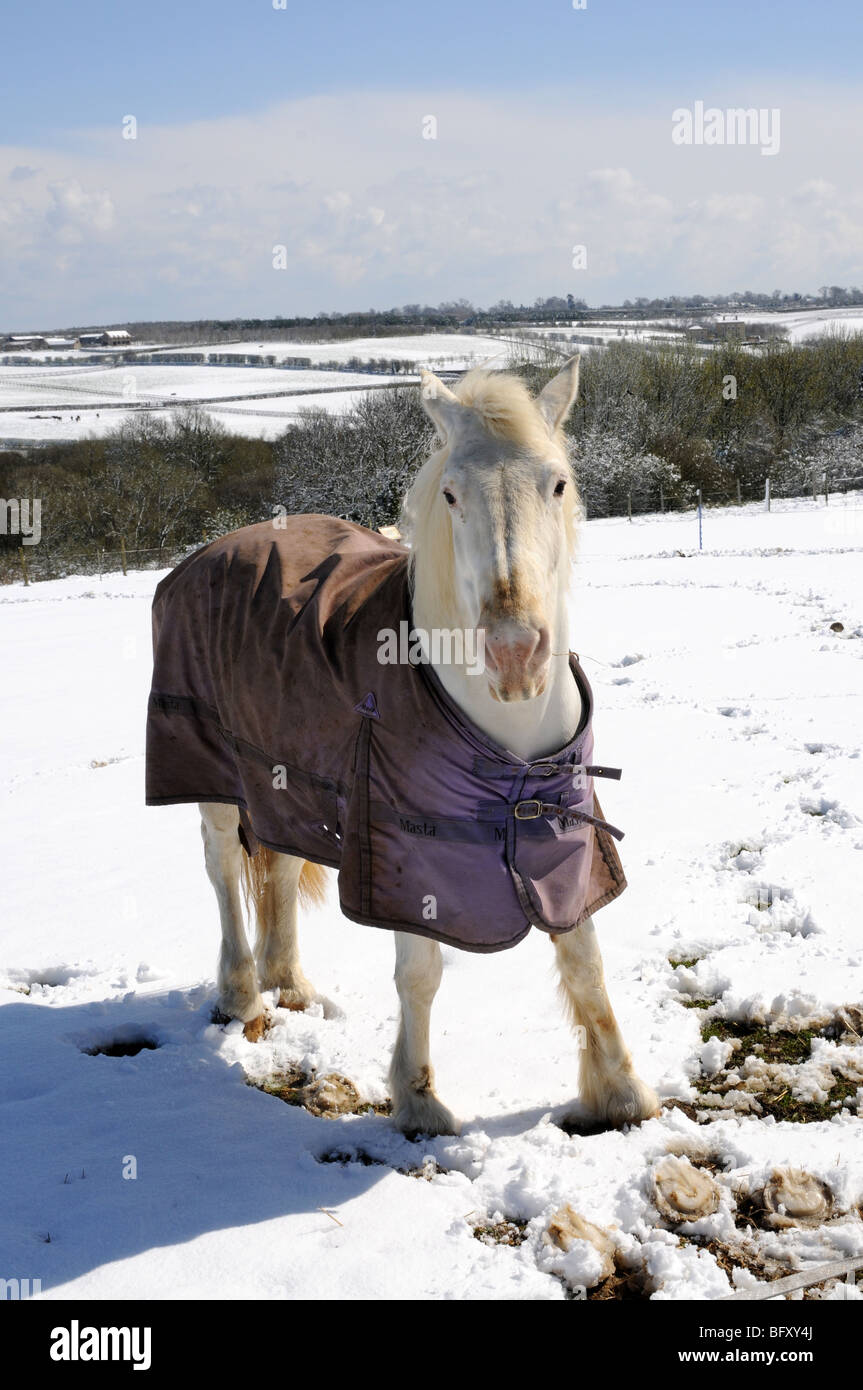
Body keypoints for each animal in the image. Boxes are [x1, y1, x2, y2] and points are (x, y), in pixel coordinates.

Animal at [150, 355, 659, 1137]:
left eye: (558, 483)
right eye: (450, 493)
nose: (515, 652)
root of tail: (215, 548)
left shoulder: (563, 832)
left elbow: (584, 959)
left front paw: (620, 1094)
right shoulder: (404, 849)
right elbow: (420, 975)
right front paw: (418, 1103)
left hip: (285, 780)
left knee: (276, 869)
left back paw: (292, 988)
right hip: (211, 778)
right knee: (222, 873)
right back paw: (241, 997)